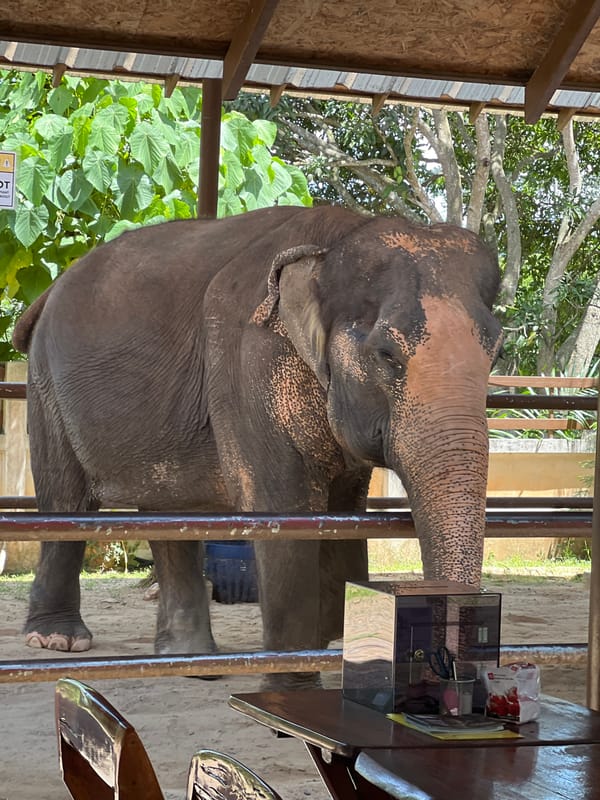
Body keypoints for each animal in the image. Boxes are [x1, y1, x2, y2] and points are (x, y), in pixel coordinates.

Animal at [12, 204, 503, 687]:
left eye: (495, 353)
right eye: (387, 355)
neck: (339, 240)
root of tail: (50, 290)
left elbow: (346, 509)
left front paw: (340, 644)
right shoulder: (248, 361)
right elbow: (283, 508)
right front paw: (293, 685)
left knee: (169, 510)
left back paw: (193, 663)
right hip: (46, 388)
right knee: (66, 498)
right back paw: (58, 640)